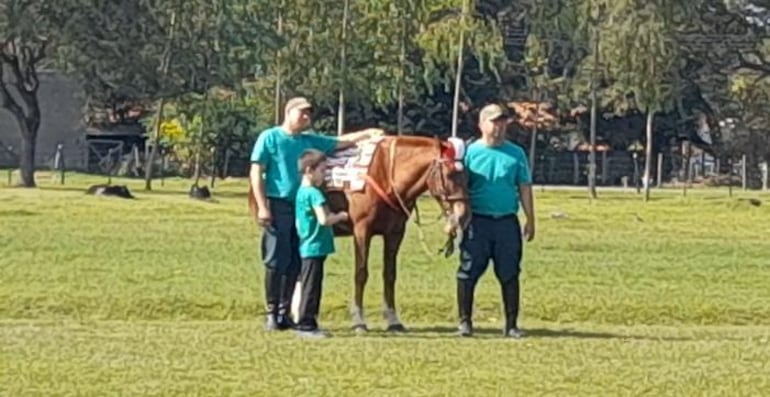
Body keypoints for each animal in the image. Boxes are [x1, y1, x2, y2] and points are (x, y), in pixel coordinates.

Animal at [249, 130, 472, 332]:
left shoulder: (395, 233)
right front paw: (359, 321)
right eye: (450, 174)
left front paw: (393, 320)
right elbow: (361, 273)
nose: (463, 214)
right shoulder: (362, 231)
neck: (384, 174)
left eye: (468, 175)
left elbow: (389, 274)